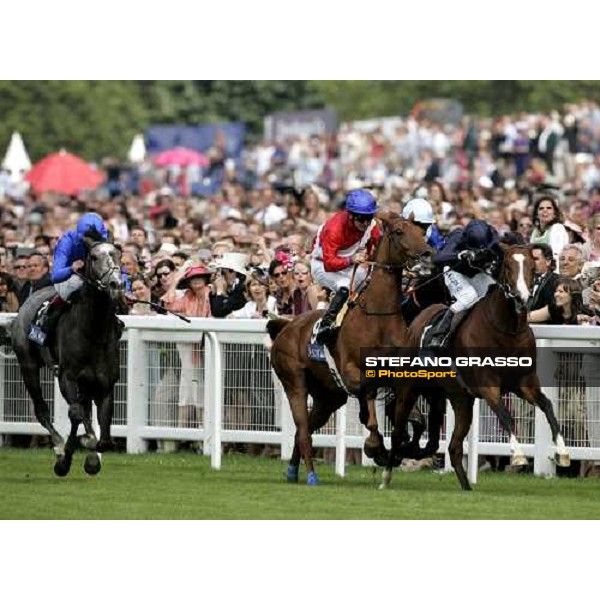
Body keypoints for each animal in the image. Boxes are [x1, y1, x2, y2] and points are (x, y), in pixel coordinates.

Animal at [10, 237, 125, 476]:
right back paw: (59, 447)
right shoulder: (67, 377)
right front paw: (75, 450)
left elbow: (103, 437)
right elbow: (78, 415)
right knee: (43, 411)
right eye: (94, 257)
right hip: (28, 365)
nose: (116, 285)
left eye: (119, 254)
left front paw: (91, 457)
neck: (93, 332)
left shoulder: (105, 384)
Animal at [268, 213, 432, 486]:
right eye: (399, 231)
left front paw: (403, 448)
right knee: (303, 431)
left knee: (307, 428)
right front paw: (375, 448)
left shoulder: (396, 374)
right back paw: (311, 475)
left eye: (422, 232)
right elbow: (370, 413)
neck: (377, 316)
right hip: (295, 383)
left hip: (328, 397)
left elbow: (416, 419)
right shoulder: (351, 374)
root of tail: (285, 326)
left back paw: (292, 470)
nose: (428, 254)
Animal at [384, 245, 572, 492]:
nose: (522, 298)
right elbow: (505, 415)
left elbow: (548, 406)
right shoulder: (487, 385)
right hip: (409, 389)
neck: (507, 330)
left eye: (533, 267)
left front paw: (563, 453)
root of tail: (415, 323)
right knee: (397, 432)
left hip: (459, 399)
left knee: (453, 447)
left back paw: (466, 487)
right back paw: (386, 476)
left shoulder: (524, 383)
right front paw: (518, 455)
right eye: (508, 266)